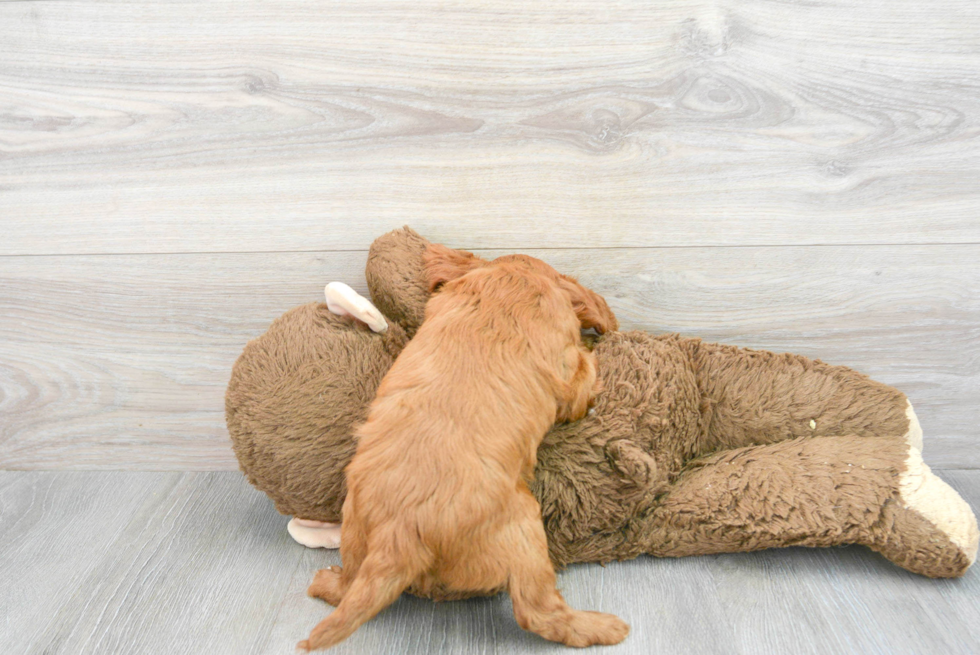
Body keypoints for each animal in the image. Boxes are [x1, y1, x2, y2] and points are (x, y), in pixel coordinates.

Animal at [298, 246, 624, 652]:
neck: (514, 283)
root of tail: (398, 533)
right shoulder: (567, 375)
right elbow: (583, 375)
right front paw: (593, 349)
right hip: (524, 528)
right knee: (537, 612)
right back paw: (603, 627)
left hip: (354, 525)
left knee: (348, 585)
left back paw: (326, 582)